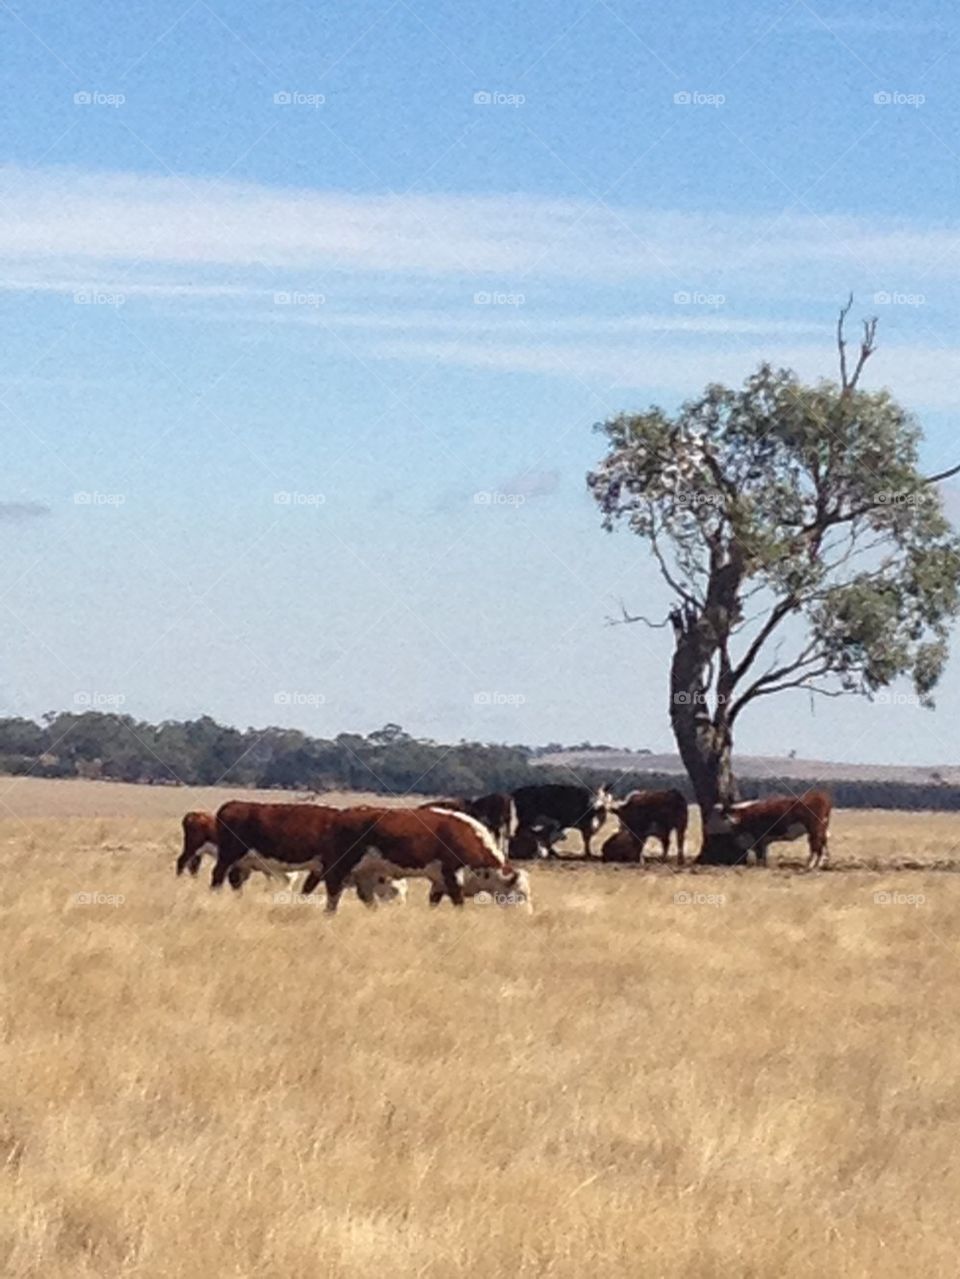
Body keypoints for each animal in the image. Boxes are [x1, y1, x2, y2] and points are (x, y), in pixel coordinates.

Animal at [308, 804, 530, 913]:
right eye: (520, 894)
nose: (526, 916)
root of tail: (340, 816)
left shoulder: (439, 882)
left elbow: (433, 902)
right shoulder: (452, 876)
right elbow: (459, 904)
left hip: (366, 872)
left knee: (366, 896)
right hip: (340, 866)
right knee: (333, 893)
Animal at [703, 790, 832, 869]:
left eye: (719, 816)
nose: (706, 827)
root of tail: (819, 795)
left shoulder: (758, 836)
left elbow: (760, 854)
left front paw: (759, 866)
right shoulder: (763, 840)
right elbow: (763, 854)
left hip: (814, 829)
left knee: (816, 845)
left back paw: (811, 865)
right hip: (821, 828)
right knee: (822, 843)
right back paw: (821, 862)